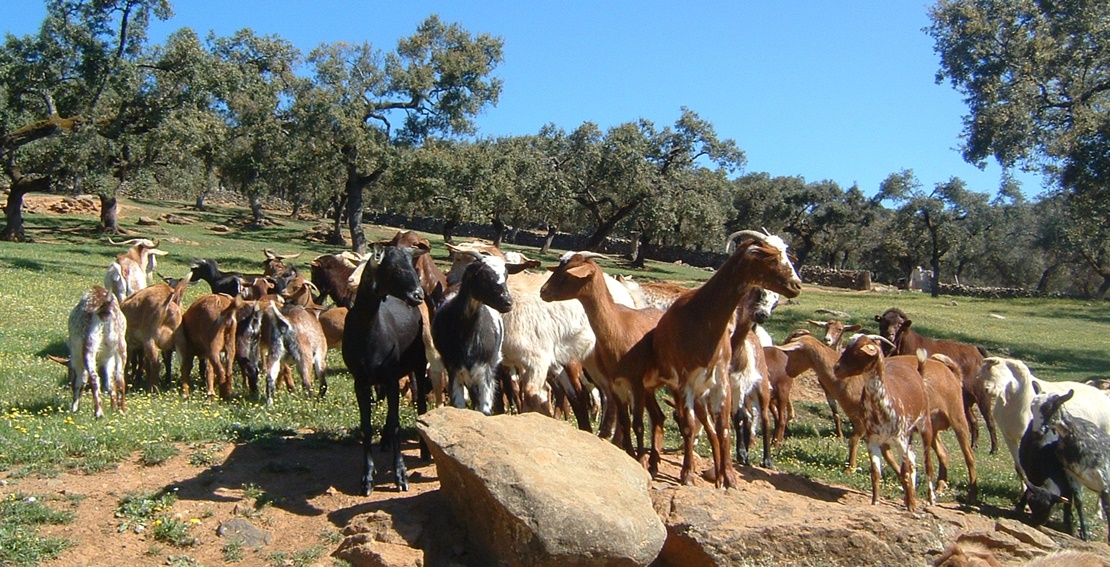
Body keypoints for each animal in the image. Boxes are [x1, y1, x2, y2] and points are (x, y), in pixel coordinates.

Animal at [61, 286, 127, 419]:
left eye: (71, 374)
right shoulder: (108, 358)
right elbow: (110, 381)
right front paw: (114, 407)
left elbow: (81, 380)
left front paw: (74, 408)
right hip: (121, 345)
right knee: (120, 378)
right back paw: (122, 411)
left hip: (89, 346)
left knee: (94, 377)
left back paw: (98, 413)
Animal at [539, 252, 661, 474]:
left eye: (569, 273)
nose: (543, 291)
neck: (619, 326)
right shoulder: (615, 384)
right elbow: (625, 420)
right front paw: (628, 455)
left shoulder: (635, 384)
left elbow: (637, 424)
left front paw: (639, 460)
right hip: (649, 388)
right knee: (658, 417)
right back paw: (655, 464)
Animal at [652, 230, 803, 488]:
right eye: (769, 256)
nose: (797, 285)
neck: (700, 317)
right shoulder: (685, 382)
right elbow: (691, 426)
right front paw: (688, 474)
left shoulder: (721, 382)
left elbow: (724, 428)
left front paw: (729, 476)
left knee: (733, 423)